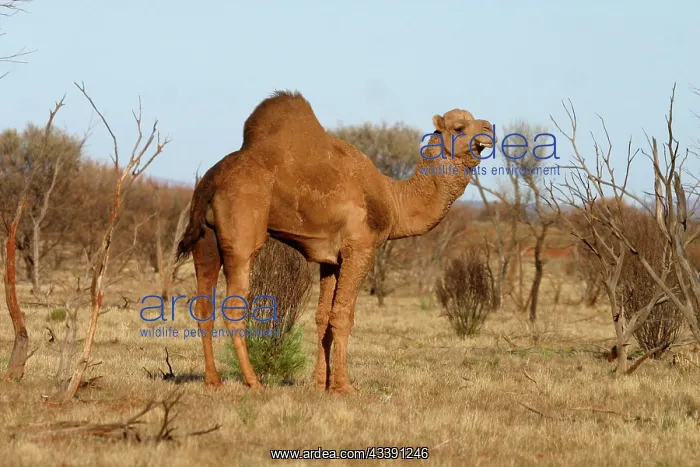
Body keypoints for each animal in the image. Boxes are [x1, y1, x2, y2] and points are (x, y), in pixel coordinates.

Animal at [176, 90, 493, 394]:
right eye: (459, 127)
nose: (489, 128)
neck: (394, 199)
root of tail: (211, 180)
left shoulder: (330, 259)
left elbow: (322, 318)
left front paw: (320, 384)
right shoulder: (360, 249)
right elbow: (342, 316)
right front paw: (344, 387)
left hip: (206, 241)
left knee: (203, 306)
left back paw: (213, 380)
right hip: (242, 232)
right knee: (234, 305)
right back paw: (253, 381)